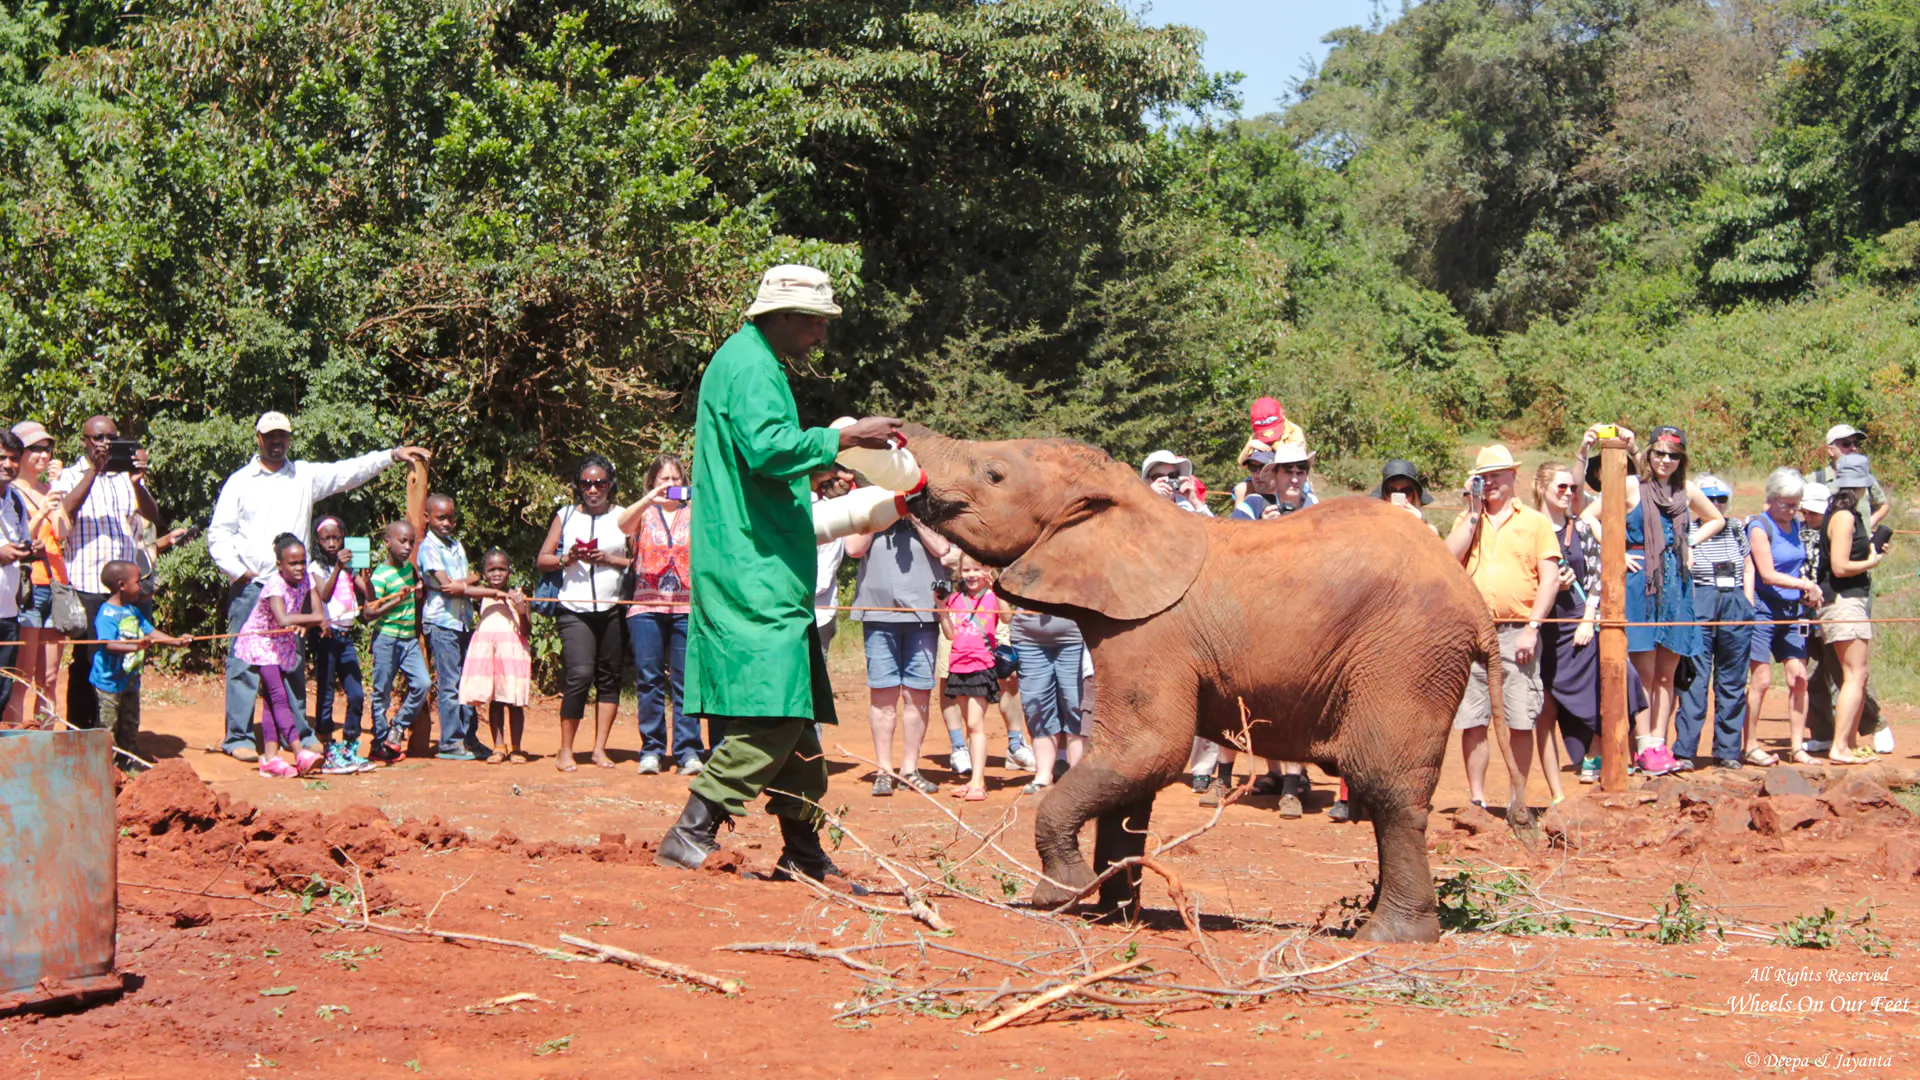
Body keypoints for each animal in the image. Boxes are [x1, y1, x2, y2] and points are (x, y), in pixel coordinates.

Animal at [903, 427, 1532, 943]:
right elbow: (1132, 776)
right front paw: (1113, 912)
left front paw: (1063, 894)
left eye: (993, 473)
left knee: (1389, 790)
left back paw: (1388, 937)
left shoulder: (1152, 633)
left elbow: (1149, 751)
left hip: (1407, 657)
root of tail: (1476, 604)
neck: (1133, 509)